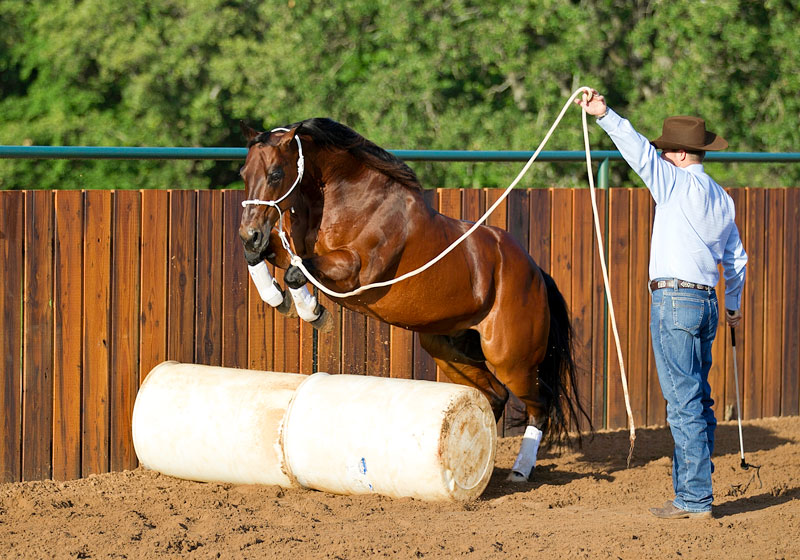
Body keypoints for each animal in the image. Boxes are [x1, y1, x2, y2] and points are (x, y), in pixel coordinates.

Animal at [238, 118, 588, 482]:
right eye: (243, 173)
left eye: (276, 174)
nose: (249, 232)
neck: (348, 200)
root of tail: (536, 272)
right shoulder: (293, 250)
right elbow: (261, 256)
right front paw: (277, 297)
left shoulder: (355, 272)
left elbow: (296, 272)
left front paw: (313, 312)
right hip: (449, 350)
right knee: (496, 396)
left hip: (512, 360)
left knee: (539, 405)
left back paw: (519, 471)